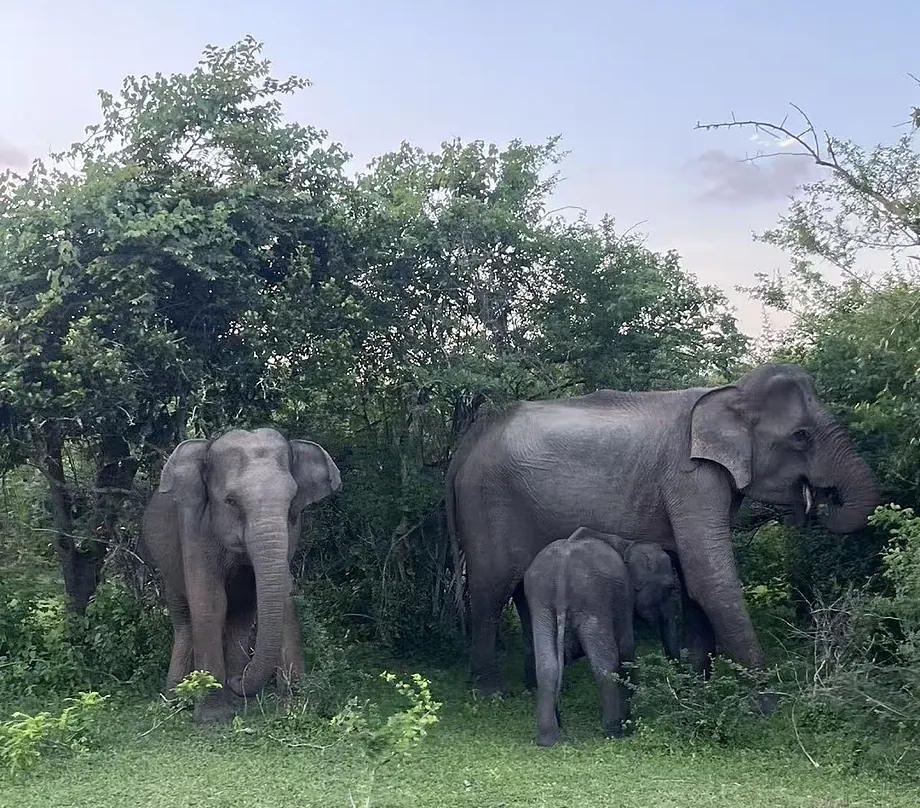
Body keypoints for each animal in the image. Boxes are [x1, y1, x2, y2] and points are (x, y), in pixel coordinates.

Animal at [139, 427, 341, 722]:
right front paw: (212, 718)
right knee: (184, 619)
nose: (237, 682)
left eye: (292, 501)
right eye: (231, 501)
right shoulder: (194, 526)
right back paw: (177, 698)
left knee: (240, 615)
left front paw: (294, 707)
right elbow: (209, 602)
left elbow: (277, 598)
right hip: (166, 565)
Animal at [446, 363, 880, 695]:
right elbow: (710, 579)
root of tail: (465, 445)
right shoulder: (690, 478)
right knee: (490, 590)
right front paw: (765, 707)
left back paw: (536, 686)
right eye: (801, 436)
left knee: (521, 592)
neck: (731, 394)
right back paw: (492, 693)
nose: (818, 505)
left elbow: (695, 581)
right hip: (488, 502)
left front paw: (700, 688)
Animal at [524, 531, 636, 746]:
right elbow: (626, 649)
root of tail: (561, 576)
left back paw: (547, 738)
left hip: (541, 602)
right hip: (592, 601)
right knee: (605, 665)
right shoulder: (623, 597)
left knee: (546, 664)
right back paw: (613, 731)